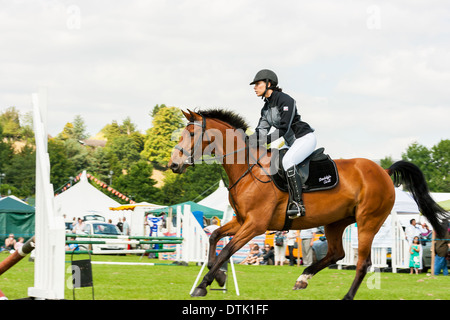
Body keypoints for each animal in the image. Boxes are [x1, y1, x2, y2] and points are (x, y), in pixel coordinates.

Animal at [168, 109, 446, 300]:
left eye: (191, 134)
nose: (173, 164)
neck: (248, 169)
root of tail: (384, 172)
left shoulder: (255, 225)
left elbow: (226, 249)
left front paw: (203, 285)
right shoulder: (241, 220)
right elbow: (214, 237)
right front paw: (219, 276)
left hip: (368, 221)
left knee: (362, 263)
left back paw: (346, 296)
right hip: (336, 222)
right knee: (337, 253)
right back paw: (302, 279)